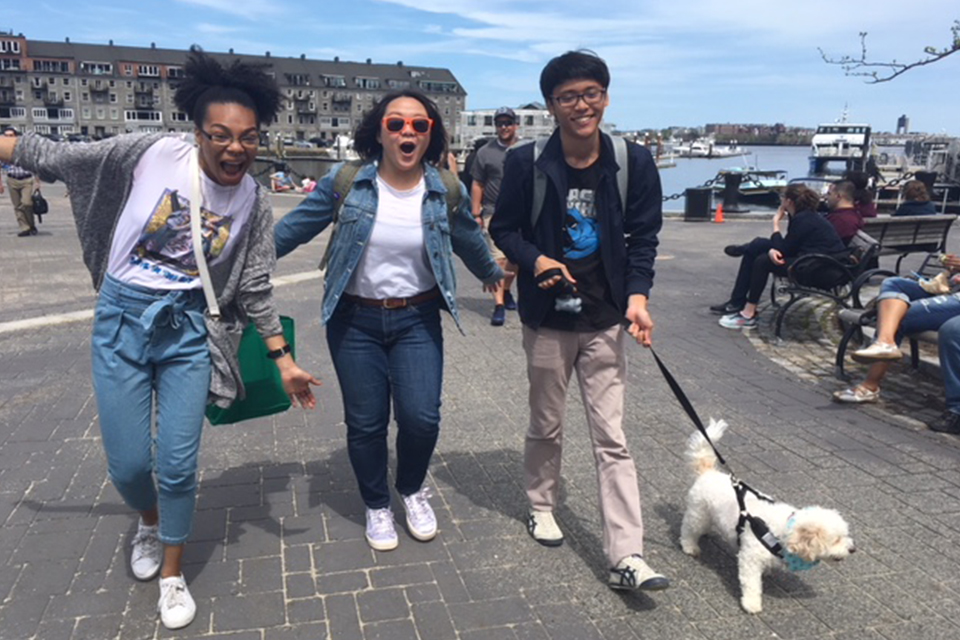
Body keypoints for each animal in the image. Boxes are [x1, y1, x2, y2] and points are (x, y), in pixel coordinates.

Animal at [680, 418, 860, 612]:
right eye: (836, 540)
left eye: (845, 535)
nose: (853, 549)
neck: (783, 531)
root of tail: (709, 472)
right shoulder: (750, 559)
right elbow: (751, 584)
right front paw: (751, 603)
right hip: (698, 515)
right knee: (688, 530)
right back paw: (690, 546)